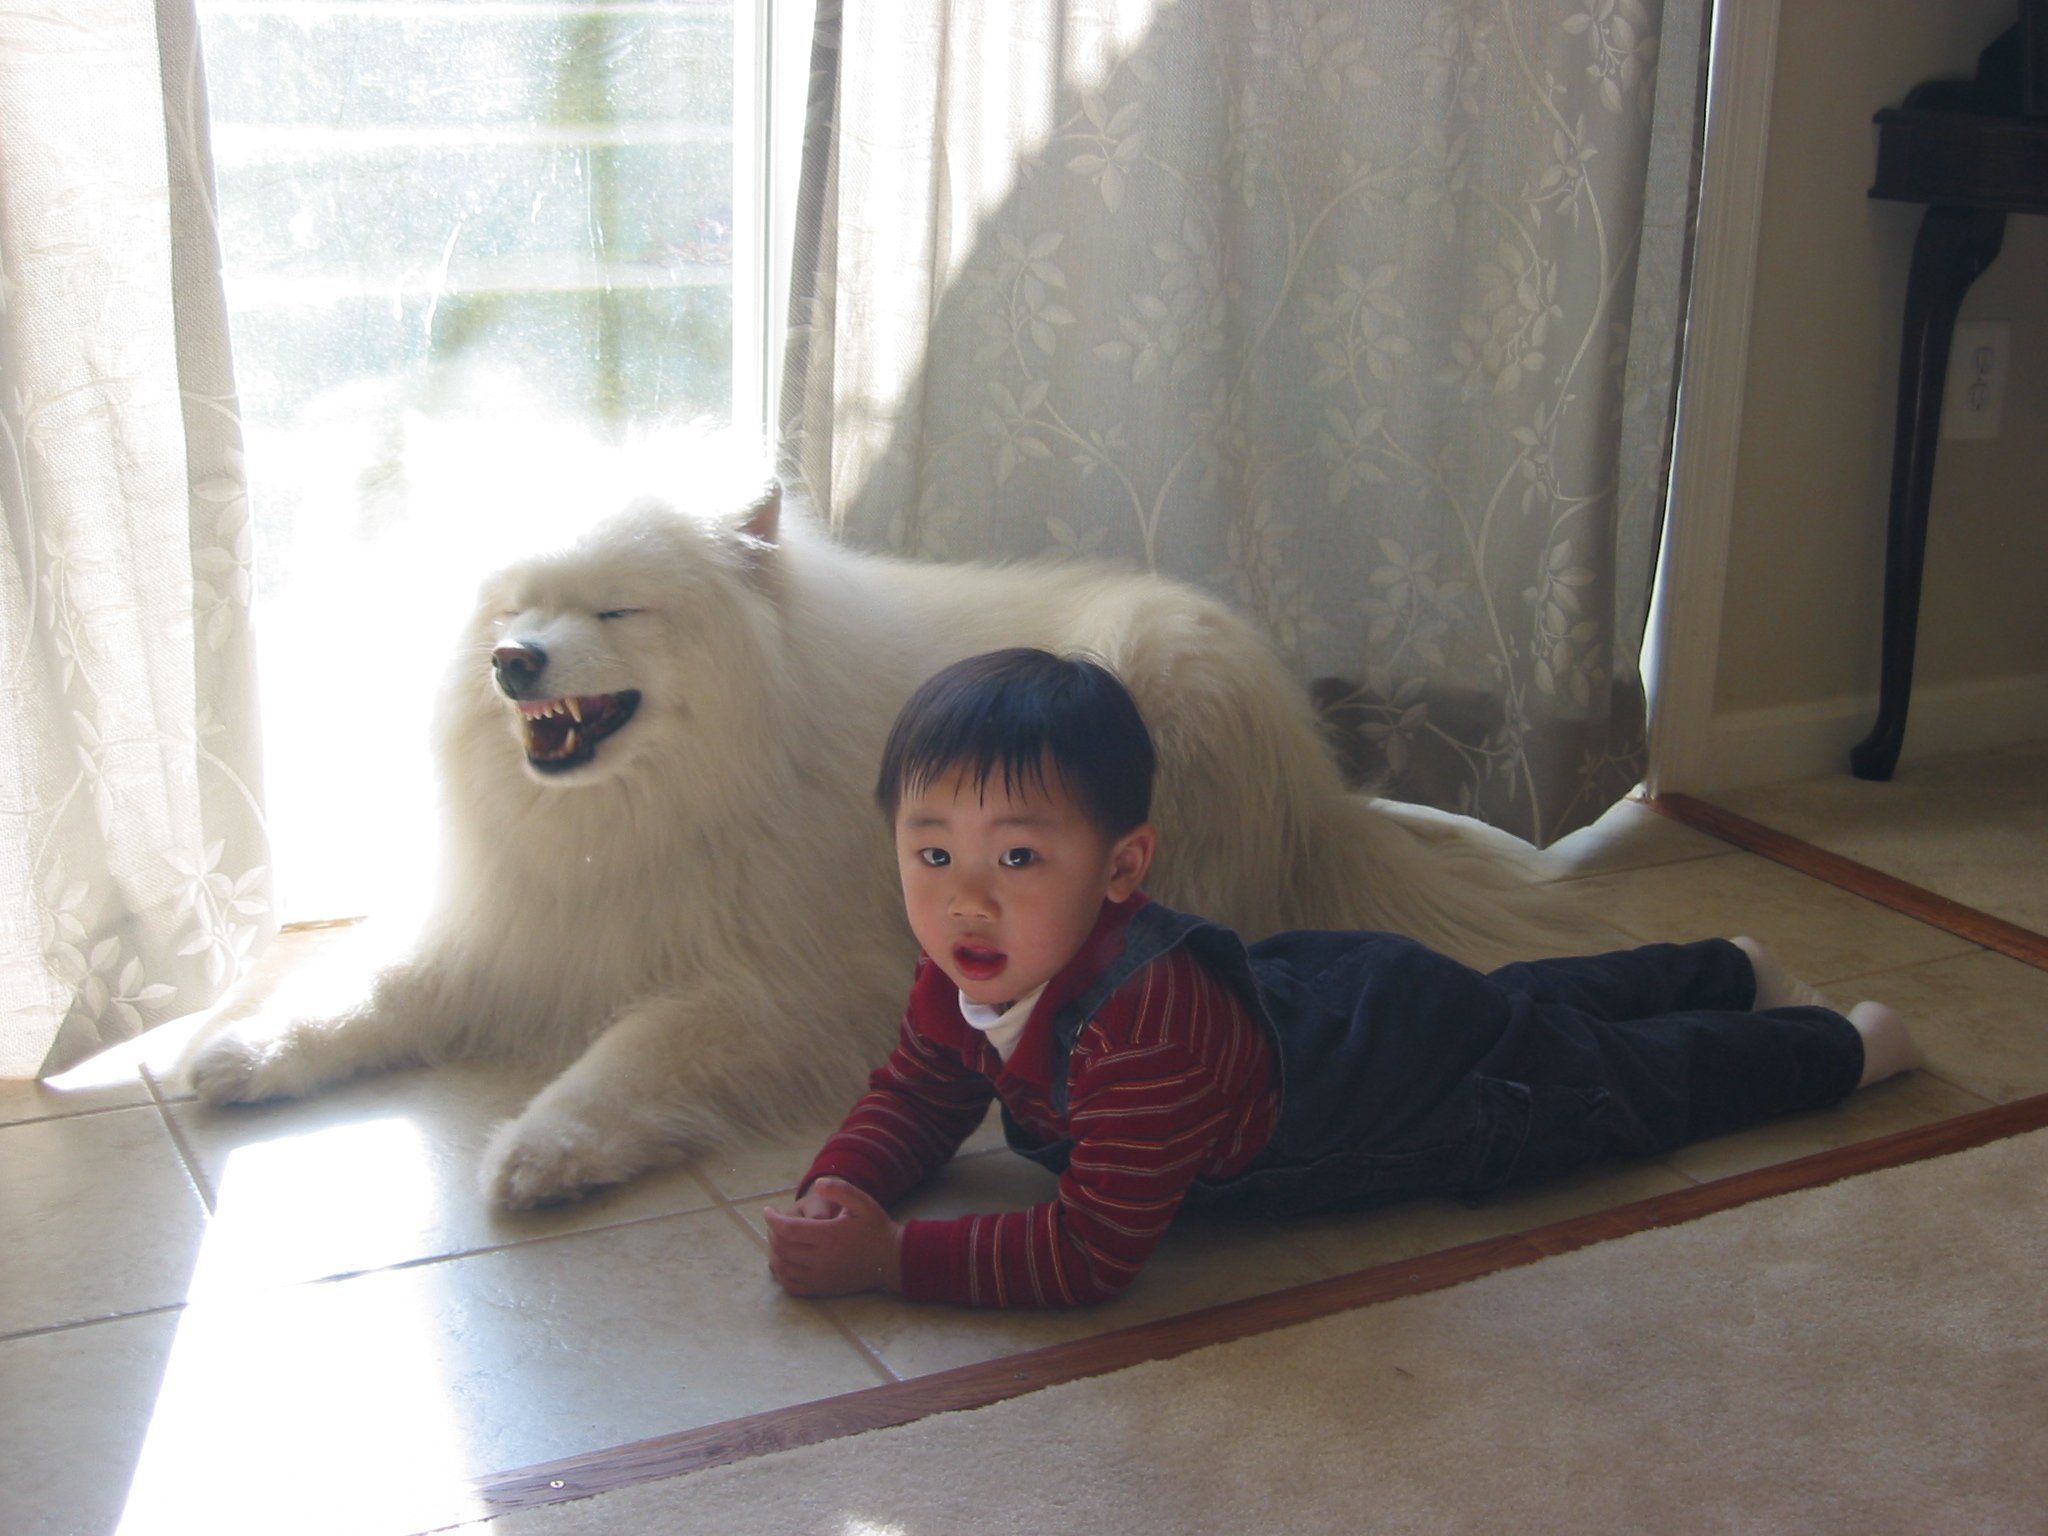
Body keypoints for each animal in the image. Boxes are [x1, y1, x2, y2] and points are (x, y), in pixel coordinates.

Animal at [186, 454, 1593, 1209]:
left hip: (1151, 696)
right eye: (514, 610)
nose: (513, 661)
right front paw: (246, 1049)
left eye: (615, 611)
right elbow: (366, 995)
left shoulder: (771, 983)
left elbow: (628, 1056)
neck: (654, 806)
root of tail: (1320, 791)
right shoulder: (509, 928)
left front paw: (544, 1148)